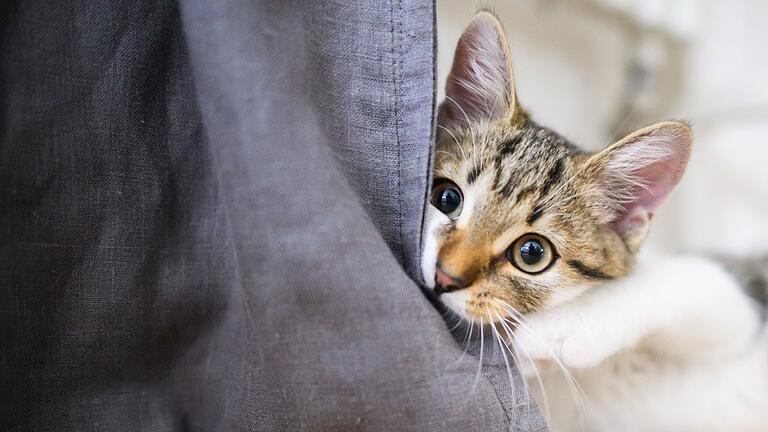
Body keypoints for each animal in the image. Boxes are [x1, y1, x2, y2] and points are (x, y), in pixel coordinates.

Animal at [426, 11, 768, 430]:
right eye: (446, 198)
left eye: (532, 252)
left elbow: (691, 279)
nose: (444, 276)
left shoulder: (739, 306)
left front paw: (556, 331)